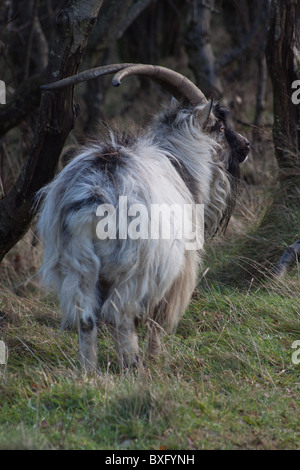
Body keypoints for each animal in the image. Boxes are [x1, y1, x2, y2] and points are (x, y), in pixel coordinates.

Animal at [38, 63, 251, 370]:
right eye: (220, 127)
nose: (246, 146)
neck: (182, 160)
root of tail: (97, 192)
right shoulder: (178, 269)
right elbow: (158, 319)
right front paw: (156, 356)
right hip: (134, 268)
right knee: (120, 314)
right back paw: (133, 365)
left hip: (77, 266)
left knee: (87, 318)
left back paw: (89, 372)